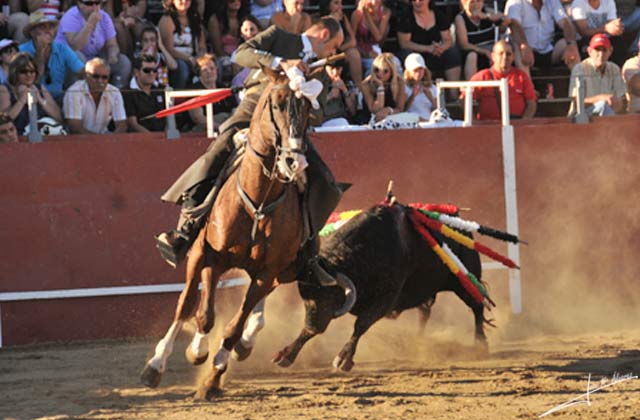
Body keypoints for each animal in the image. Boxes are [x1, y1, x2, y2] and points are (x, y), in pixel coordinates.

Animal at [139, 67, 356, 398]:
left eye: (307, 109)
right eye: (276, 105)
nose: (293, 161)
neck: (259, 199)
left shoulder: (267, 271)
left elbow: (234, 324)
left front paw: (214, 376)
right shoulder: (206, 256)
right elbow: (195, 310)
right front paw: (168, 360)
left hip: (281, 269)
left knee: (253, 308)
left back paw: (242, 343)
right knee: (203, 308)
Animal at [272, 203, 490, 370]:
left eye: (330, 297)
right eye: (305, 297)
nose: (311, 323)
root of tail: (464, 228)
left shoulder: (386, 299)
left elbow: (361, 324)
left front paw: (343, 359)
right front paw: (286, 355)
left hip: (465, 281)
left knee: (477, 307)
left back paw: (480, 345)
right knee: (424, 312)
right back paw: (417, 341)